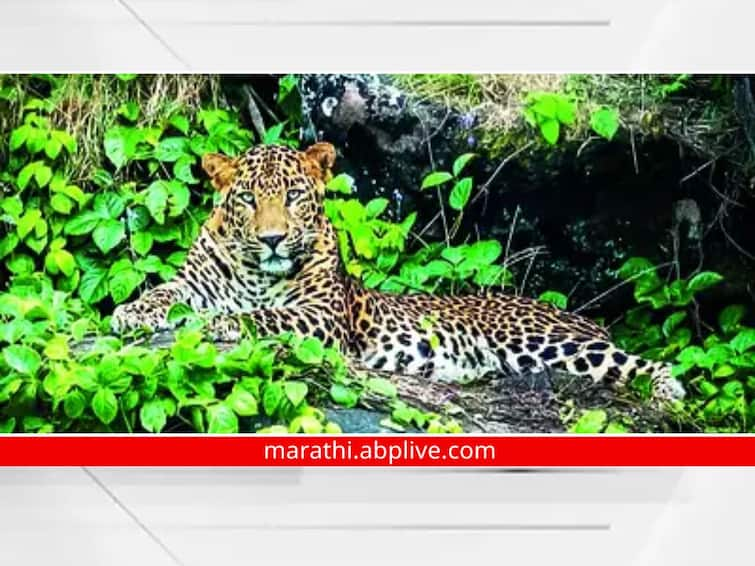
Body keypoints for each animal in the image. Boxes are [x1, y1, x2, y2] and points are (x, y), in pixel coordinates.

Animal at [110, 141, 684, 404]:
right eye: (249, 198)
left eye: (293, 195)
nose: (272, 238)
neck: (255, 271)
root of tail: (586, 320)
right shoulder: (194, 283)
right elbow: (162, 292)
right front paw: (129, 312)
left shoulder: (322, 317)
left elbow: (269, 316)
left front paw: (228, 322)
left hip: (543, 340)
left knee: (635, 362)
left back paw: (667, 390)